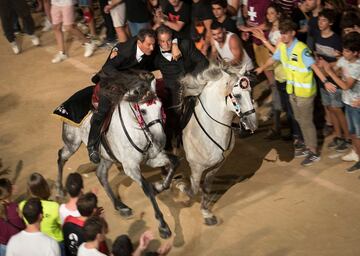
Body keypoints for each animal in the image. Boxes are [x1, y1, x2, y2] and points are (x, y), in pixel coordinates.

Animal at [56, 71, 177, 239]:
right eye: (143, 111)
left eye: (160, 106)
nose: (160, 140)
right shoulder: (130, 167)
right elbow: (147, 188)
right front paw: (163, 226)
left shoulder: (152, 158)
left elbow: (174, 161)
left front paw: (160, 186)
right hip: (72, 143)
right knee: (61, 156)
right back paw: (60, 189)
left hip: (107, 156)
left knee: (101, 174)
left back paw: (120, 206)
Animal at [179, 64, 258, 226]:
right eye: (237, 96)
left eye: (250, 91)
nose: (253, 124)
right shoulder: (196, 167)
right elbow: (194, 189)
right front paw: (183, 188)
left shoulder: (218, 164)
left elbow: (207, 185)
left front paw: (206, 212)